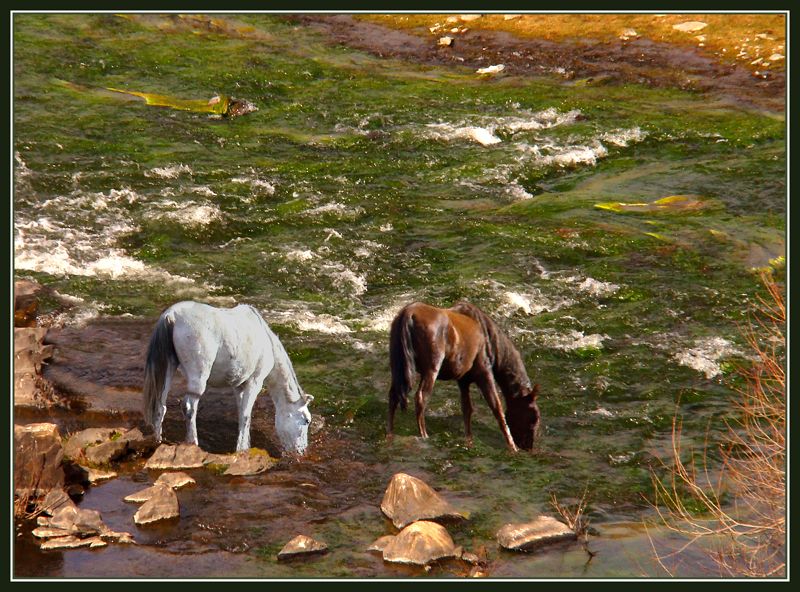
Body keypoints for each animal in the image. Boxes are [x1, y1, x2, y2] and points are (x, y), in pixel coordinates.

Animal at [142, 302, 310, 456]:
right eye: (306, 420)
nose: (301, 451)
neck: (267, 341)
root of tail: (171, 315)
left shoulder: (239, 386)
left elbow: (242, 414)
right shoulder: (254, 382)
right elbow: (246, 415)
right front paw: (242, 449)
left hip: (168, 367)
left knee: (160, 406)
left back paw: (158, 440)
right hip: (199, 375)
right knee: (189, 407)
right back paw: (193, 443)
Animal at [386, 302, 540, 450]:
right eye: (533, 417)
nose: (528, 447)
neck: (490, 342)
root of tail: (408, 314)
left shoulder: (463, 380)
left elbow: (467, 409)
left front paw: (469, 440)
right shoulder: (484, 372)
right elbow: (497, 408)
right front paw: (512, 446)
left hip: (397, 367)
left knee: (393, 396)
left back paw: (390, 433)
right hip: (431, 368)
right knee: (421, 398)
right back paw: (424, 435)